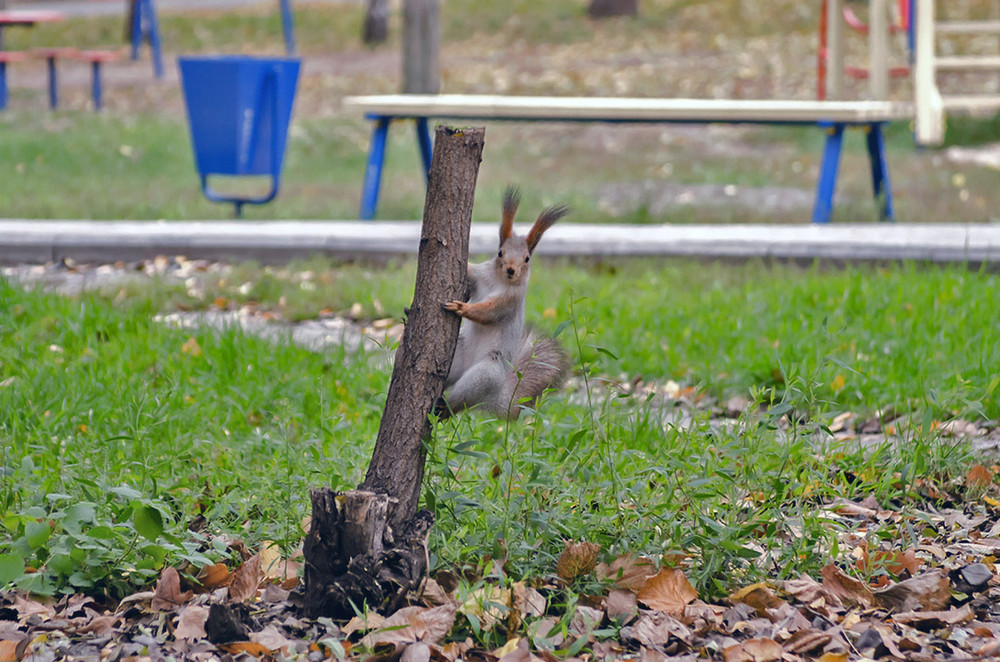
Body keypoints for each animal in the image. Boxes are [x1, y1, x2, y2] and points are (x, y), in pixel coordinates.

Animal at [440, 185, 570, 420]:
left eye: (527, 258)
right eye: (500, 253)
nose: (511, 270)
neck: (498, 280)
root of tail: (495, 394)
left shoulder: (510, 300)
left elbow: (487, 312)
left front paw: (462, 307)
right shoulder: (479, 275)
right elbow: (470, 272)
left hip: (486, 374)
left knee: (461, 401)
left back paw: (446, 408)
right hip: (456, 359)